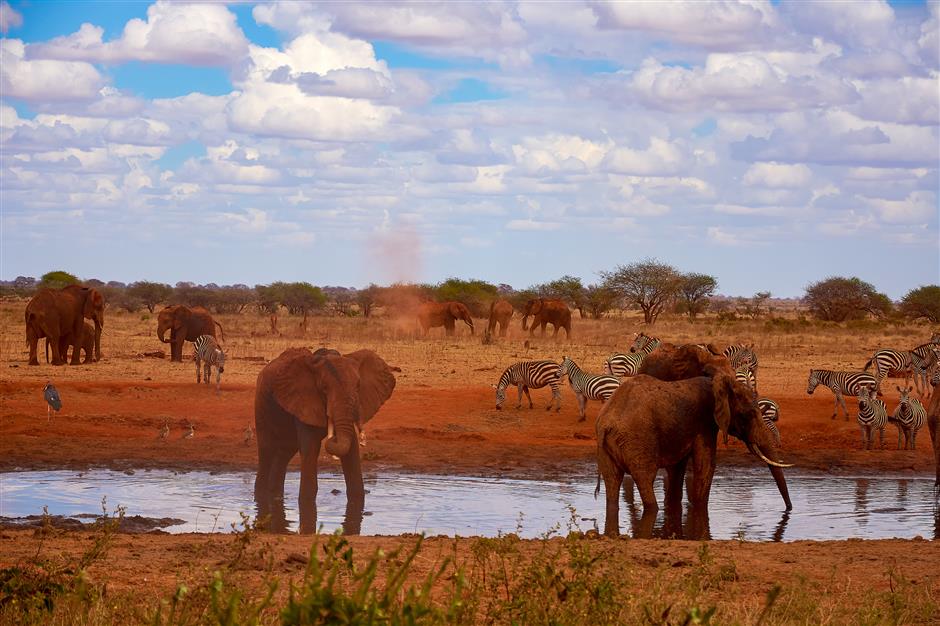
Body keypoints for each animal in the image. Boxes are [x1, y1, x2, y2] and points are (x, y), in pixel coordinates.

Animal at [253, 346, 396, 532]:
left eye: (358, 386)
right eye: (324, 388)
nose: (331, 437)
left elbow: (352, 454)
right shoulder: (303, 400)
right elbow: (311, 449)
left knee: (284, 452)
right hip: (262, 404)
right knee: (267, 451)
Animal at [596, 342, 792, 536]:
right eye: (748, 415)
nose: (789, 510)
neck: (718, 381)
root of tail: (606, 425)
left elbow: (678, 468)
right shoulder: (704, 422)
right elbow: (705, 465)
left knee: (612, 481)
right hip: (638, 442)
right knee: (645, 481)